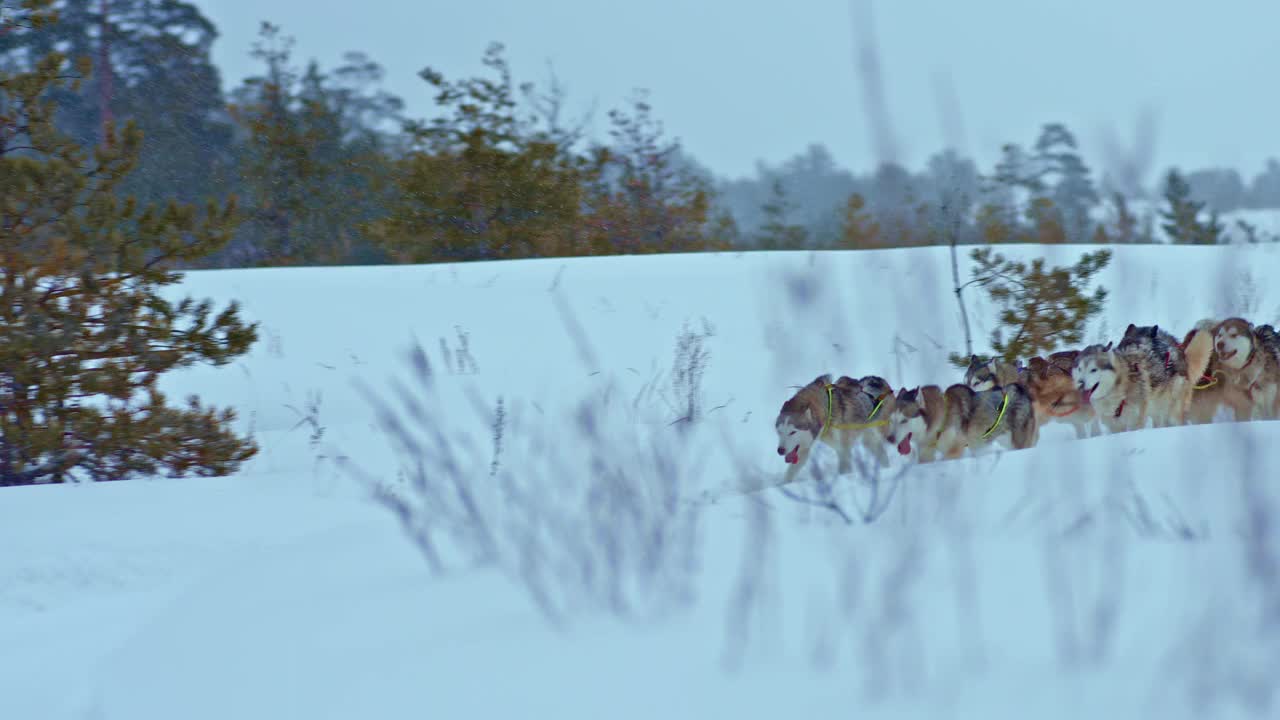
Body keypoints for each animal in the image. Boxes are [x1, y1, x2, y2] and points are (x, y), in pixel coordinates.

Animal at [890, 379, 1039, 461]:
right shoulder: (926, 452)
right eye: (893, 420)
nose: (890, 439)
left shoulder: (955, 449)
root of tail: (1019, 390)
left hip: (1018, 443)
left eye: (904, 420)